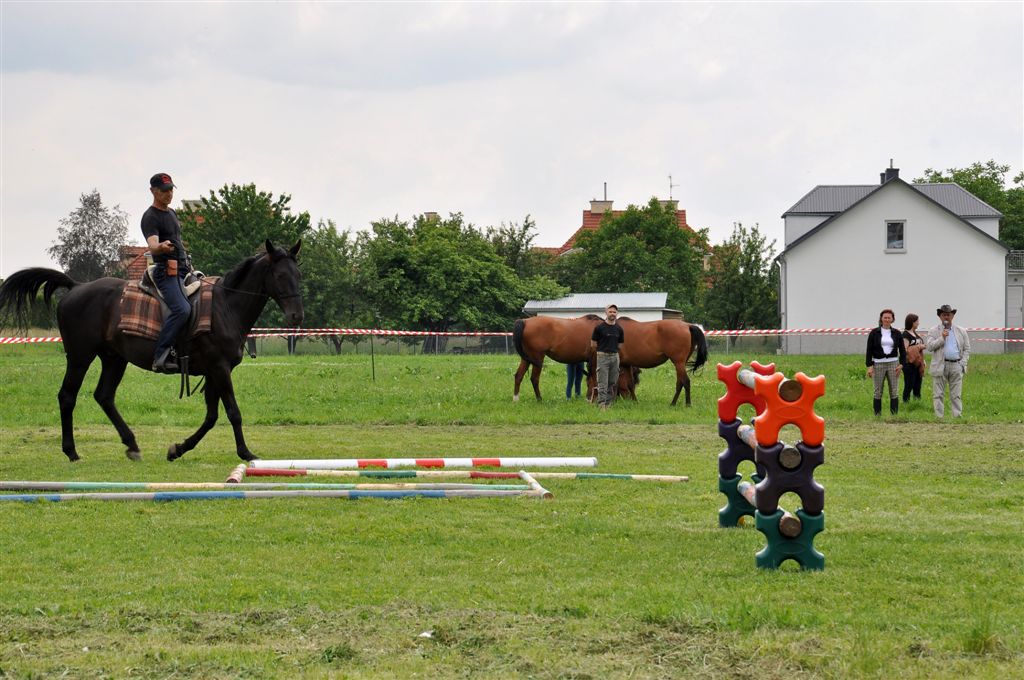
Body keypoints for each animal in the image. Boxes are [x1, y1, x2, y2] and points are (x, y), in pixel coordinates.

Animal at [0, 240, 302, 462]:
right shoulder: (219, 368)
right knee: (67, 397)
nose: (297, 316)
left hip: (114, 359)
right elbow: (232, 412)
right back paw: (72, 451)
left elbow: (211, 417)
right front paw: (246, 453)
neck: (225, 306)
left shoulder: (214, 371)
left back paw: (131, 444)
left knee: (104, 396)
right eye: (279, 275)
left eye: (297, 275)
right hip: (79, 357)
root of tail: (77, 287)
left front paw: (178, 449)